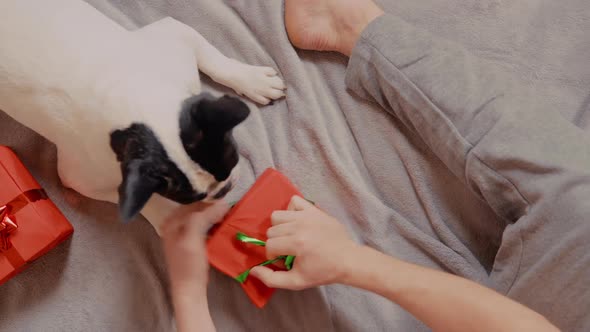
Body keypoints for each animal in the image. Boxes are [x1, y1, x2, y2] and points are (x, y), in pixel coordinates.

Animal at [0, 0, 286, 233]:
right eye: (188, 199)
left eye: (231, 156)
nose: (225, 188)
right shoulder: (82, 178)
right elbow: (140, 201)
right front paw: (170, 218)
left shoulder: (176, 36)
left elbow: (214, 60)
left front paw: (252, 80)